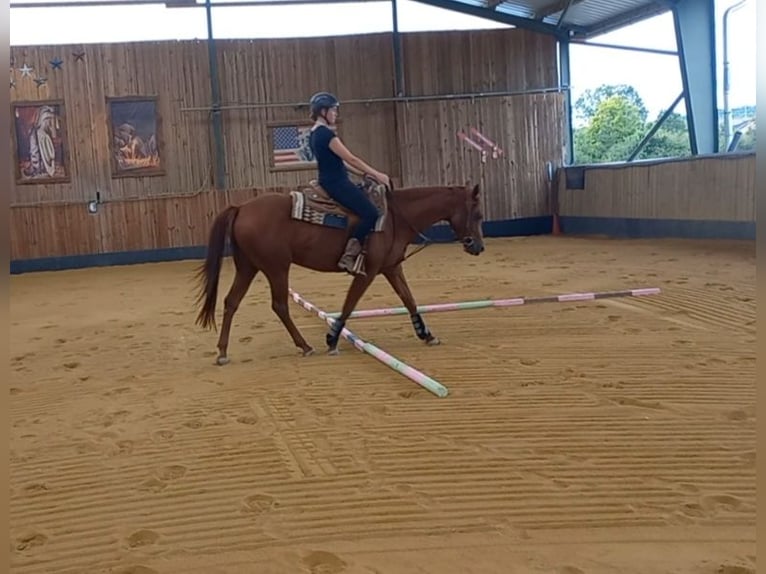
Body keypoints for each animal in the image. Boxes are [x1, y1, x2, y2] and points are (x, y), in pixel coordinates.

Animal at [194, 178, 486, 364]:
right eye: (478, 214)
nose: (479, 246)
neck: (395, 217)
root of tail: (242, 207)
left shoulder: (391, 268)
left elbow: (409, 299)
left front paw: (426, 334)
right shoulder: (368, 272)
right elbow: (349, 304)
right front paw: (332, 340)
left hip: (248, 267)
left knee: (231, 302)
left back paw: (222, 352)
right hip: (276, 268)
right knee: (279, 305)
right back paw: (304, 346)